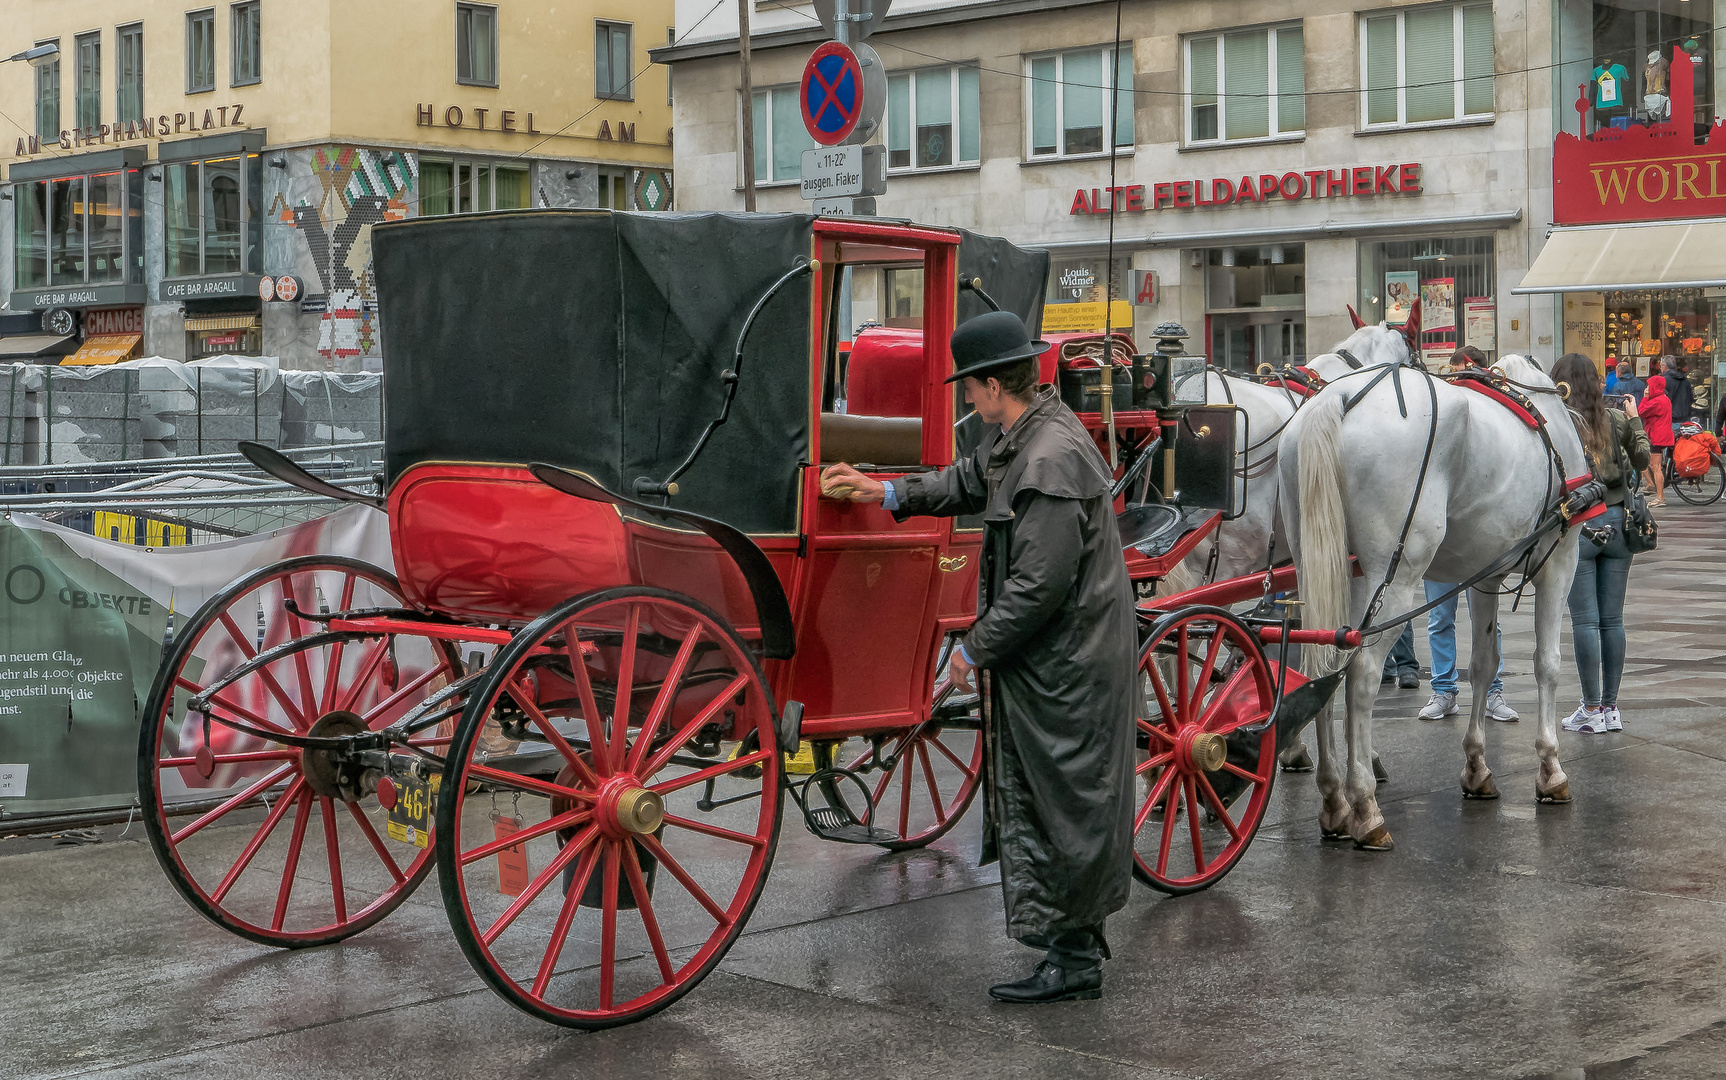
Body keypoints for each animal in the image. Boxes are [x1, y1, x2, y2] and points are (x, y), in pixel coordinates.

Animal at [1277, 348, 1581, 845]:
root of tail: (1336, 398)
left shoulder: (1484, 576)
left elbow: (1484, 665)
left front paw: (1477, 765)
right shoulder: (1560, 562)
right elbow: (1548, 664)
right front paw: (1550, 768)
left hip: (1325, 569)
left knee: (1324, 665)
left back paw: (1334, 798)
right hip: (1395, 580)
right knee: (1361, 672)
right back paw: (1364, 804)